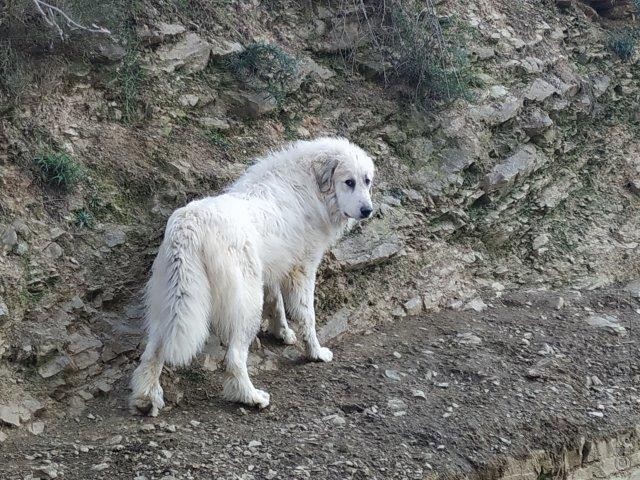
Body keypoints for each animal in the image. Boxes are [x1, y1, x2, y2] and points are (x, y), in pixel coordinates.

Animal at [130, 136, 376, 416]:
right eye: (349, 182)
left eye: (367, 181)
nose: (368, 210)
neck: (309, 186)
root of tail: (189, 225)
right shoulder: (302, 270)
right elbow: (307, 316)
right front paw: (315, 352)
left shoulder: (272, 270)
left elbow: (276, 304)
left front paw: (282, 333)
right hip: (246, 304)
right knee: (235, 358)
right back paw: (250, 397)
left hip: (171, 304)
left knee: (152, 352)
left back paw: (146, 398)